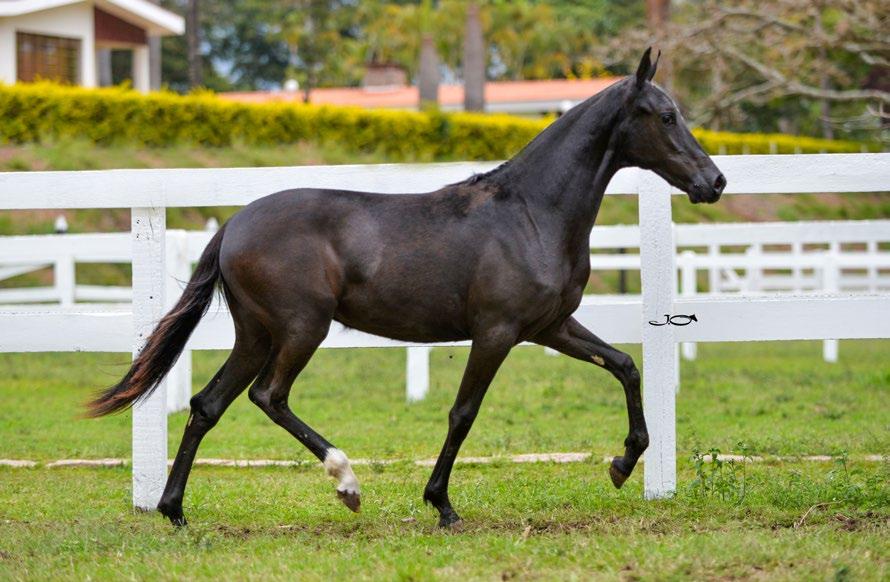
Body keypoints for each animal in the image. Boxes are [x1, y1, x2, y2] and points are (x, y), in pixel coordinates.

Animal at [86, 50, 720, 532]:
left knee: (207, 405)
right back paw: (346, 483)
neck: (530, 214)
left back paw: (175, 512)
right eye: (665, 116)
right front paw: (442, 505)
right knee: (269, 396)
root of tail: (234, 225)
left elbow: (626, 365)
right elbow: (463, 412)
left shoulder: (549, 327)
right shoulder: (497, 332)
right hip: (301, 328)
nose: (714, 182)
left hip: (256, 333)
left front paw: (622, 463)